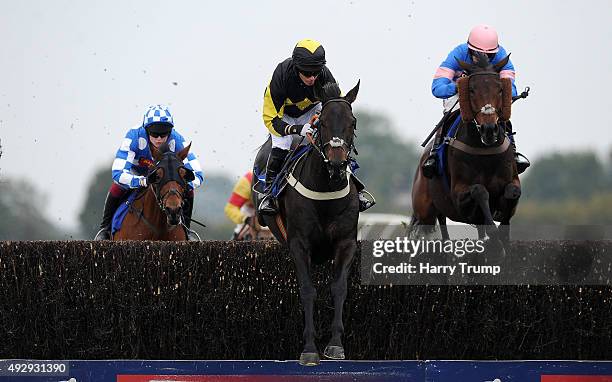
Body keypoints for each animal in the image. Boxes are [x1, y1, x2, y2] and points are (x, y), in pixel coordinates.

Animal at [412, 53, 520, 248]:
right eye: (471, 90)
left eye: (500, 89)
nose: (489, 129)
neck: (485, 151)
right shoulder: (458, 196)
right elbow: (479, 190)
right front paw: (495, 238)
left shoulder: (512, 182)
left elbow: (512, 192)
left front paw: (502, 235)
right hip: (424, 210)